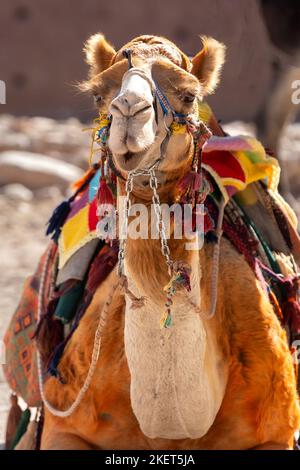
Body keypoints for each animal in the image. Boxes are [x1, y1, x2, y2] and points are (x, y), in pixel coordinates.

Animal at [28, 35, 300, 450]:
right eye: (99, 94)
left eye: (189, 95)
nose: (129, 109)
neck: (171, 428)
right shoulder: (65, 424)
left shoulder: (277, 430)